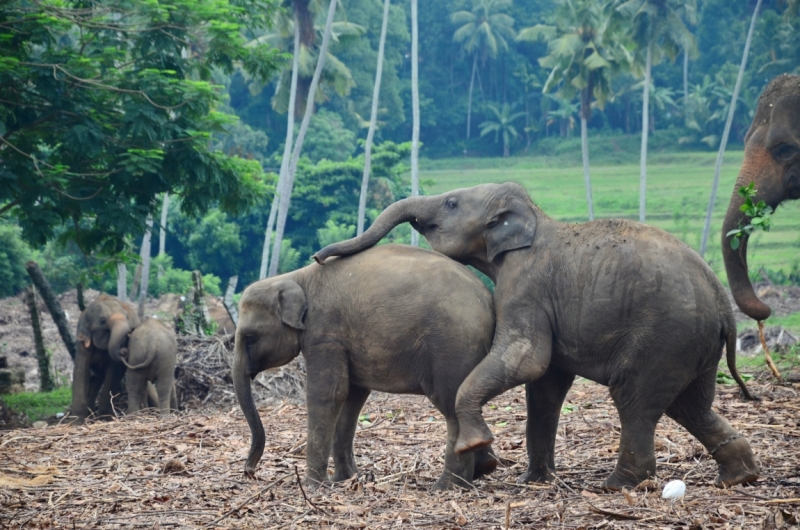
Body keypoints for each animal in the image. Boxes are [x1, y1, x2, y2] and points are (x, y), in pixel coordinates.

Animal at [72, 290, 141, 422]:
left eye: (127, 317)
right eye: (103, 321)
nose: (124, 350)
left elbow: (113, 371)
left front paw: (105, 418)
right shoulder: (82, 344)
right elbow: (81, 370)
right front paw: (77, 421)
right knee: (96, 379)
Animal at [230, 242, 500, 486]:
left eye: (249, 338)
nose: (250, 471)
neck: (295, 277)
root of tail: (489, 300)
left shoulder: (325, 333)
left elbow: (327, 394)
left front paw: (312, 485)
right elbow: (352, 397)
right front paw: (345, 479)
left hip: (452, 345)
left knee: (451, 406)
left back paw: (448, 486)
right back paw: (483, 468)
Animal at [316, 180, 760, 486]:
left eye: (451, 203)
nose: (318, 256)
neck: (533, 217)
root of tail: (723, 304)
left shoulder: (525, 285)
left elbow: (529, 359)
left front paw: (475, 446)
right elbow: (545, 383)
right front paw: (534, 481)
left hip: (665, 337)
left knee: (636, 399)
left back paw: (617, 485)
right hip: (693, 345)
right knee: (689, 405)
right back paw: (739, 476)